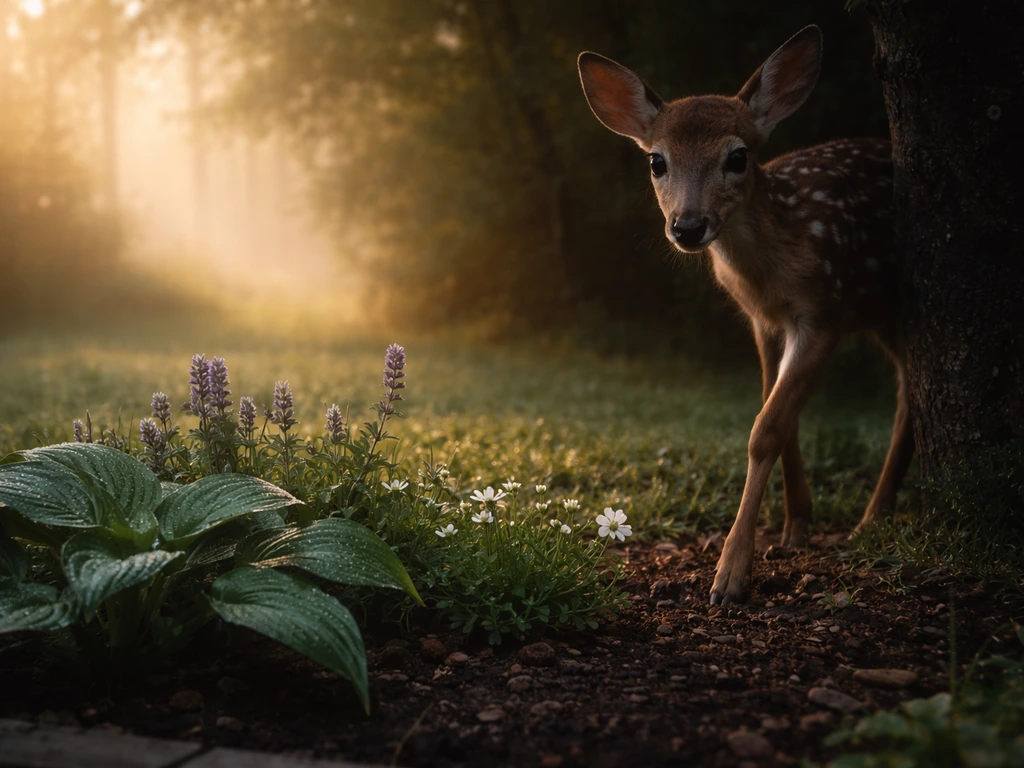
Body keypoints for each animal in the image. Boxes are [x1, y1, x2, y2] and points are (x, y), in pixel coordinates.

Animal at [578, 26, 912, 605]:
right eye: (657, 161)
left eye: (738, 157)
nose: (688, 226)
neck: (770, 271)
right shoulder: (763, 321)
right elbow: (779, 410)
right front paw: (796, 527)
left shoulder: (823, 311)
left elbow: (767, 428)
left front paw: (731, 573)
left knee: (909, 394)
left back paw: (872, 517)